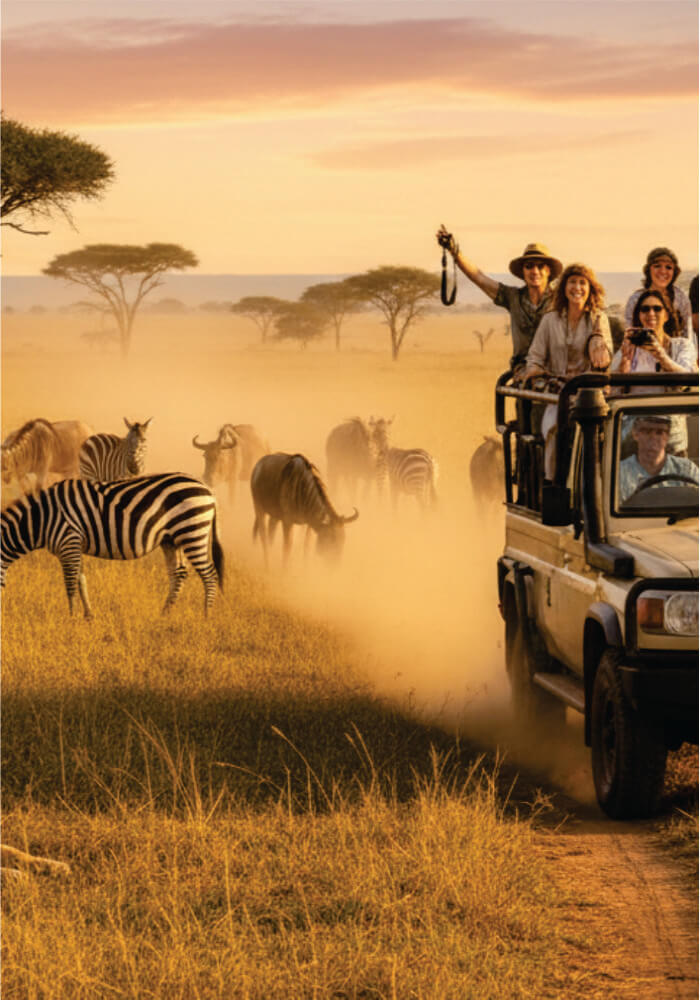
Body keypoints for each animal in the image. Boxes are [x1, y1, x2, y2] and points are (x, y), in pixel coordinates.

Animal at [1, 473, 224, 618]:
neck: (41, 519)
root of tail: (209, 491)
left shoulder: (69, 542)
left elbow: (70, 584)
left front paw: (71, 618)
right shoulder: (75, 546)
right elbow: (81, 580)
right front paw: (88, 616)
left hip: (192, 532)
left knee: (209, 576)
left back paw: (206, 617)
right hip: (172, 539)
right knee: (179, 574)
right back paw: (164, 615)